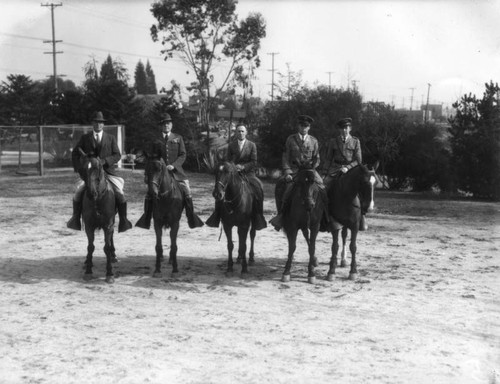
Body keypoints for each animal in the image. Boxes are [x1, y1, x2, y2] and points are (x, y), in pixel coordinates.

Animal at [81, 154, 117, 284]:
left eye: (97, 169)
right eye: (84, 169)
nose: (91, 194)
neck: (98, 199)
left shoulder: (108, 225)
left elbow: (106, 247)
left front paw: (109, 273)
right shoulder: (89, 226)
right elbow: (90, 247)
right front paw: (88, 271)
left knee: (111, 238)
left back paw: (113, 256)